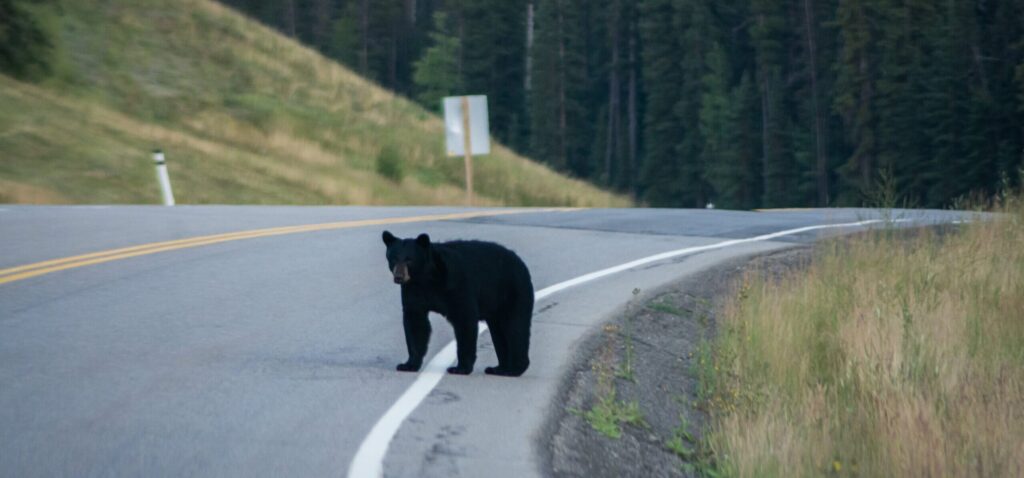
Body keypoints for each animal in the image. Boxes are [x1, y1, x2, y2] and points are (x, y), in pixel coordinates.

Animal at [380, 232, 532, 378]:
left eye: (409, 259)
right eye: (393, 258)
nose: (399, 277)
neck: (427, 278)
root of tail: (521, 262)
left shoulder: (458, 284)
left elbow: (465, 320)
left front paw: (460, 368)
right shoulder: (413, 290)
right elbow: (415, 322)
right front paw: (408, 364)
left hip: (512, 292)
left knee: (515, 328)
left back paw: (514, 369)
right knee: (499, 332)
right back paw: (498, 368)